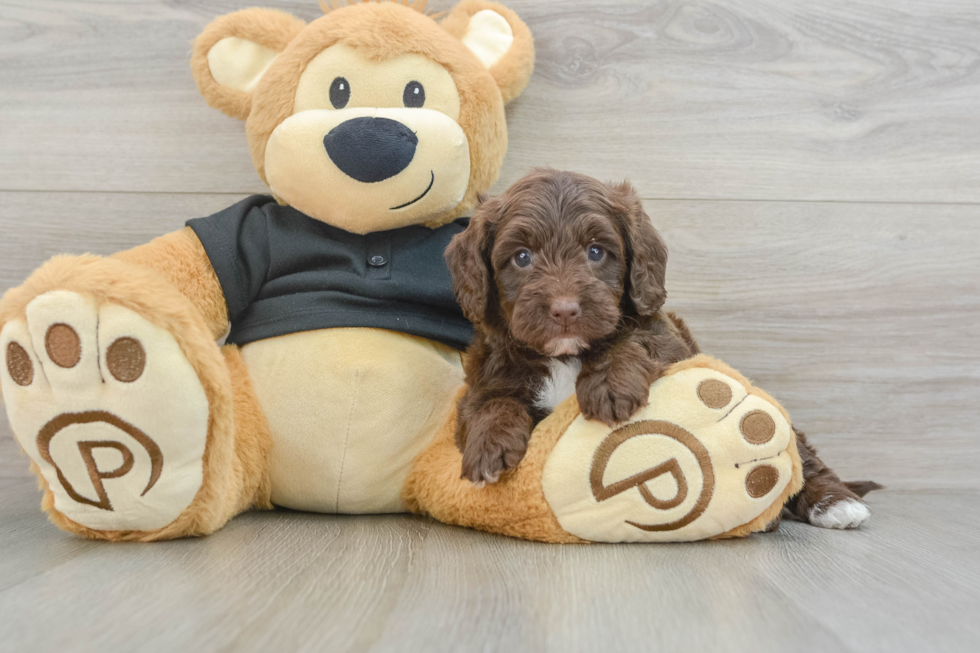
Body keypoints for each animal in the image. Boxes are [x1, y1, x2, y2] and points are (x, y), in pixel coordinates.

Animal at [446, 168, 696, 484]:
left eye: (596, 251)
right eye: (522, 257)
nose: (564, 311)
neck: (562, 357)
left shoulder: (669, 340)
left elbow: (634, 337)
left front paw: (610, 384)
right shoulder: (483, 376)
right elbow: (489, 401)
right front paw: (488, 443)